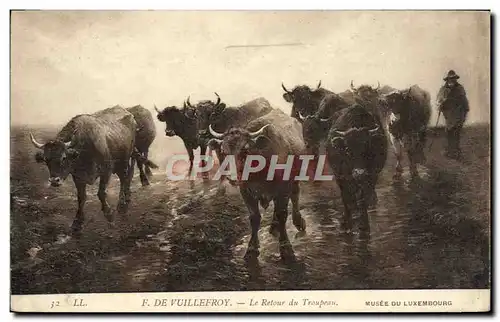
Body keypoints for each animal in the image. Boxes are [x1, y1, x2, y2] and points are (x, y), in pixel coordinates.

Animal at [205, 109, 306, 260]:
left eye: (245, 150)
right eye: (223, 151)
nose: (232, 177)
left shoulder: (284, 188)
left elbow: (282, 214)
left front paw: (286, 247)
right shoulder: (246, 192)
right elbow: (254, 217)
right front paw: (252, 247)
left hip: (295, 179)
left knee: (295, 196)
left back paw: (298, 221)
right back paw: (274, 226)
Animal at [326, 104, 388, 233]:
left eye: (368, 149)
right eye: (348, 150)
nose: (360, 173)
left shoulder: (372, 175)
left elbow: (363, 198)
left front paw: (364, 225)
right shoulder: (341, 176)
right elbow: (346, 198)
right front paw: (346, 224)